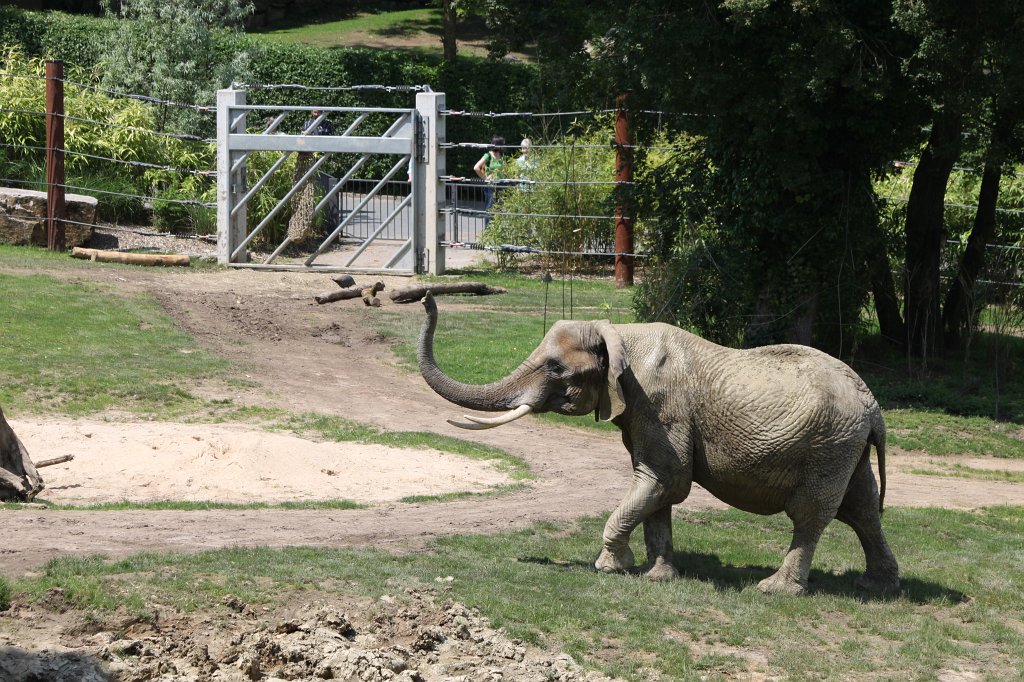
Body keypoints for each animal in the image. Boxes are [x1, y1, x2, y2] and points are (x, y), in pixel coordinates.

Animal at [416, 292, 899, 596]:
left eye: (555, 369)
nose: (425, 299)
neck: (619, 333)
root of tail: (873, 406)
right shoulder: (642, 412)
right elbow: (656, 488)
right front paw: (658, 577)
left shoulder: (660, 406)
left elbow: (665, 480)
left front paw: (611, 568)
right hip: (846, 446)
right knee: (860, 508)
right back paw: (878, 587)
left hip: (829, 444)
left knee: (812, 512)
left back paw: (776, 590)